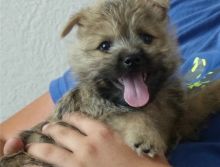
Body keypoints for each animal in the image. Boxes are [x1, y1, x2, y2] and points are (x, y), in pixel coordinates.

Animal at [0, 0, 219, 166]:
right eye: (104, 45)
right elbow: (131, 116)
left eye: (146, 37)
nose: (131, 59)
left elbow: (198, 100)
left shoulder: (178, 120)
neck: (150, 104)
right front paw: (144, 136)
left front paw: (215, 89)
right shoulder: (96, 115)